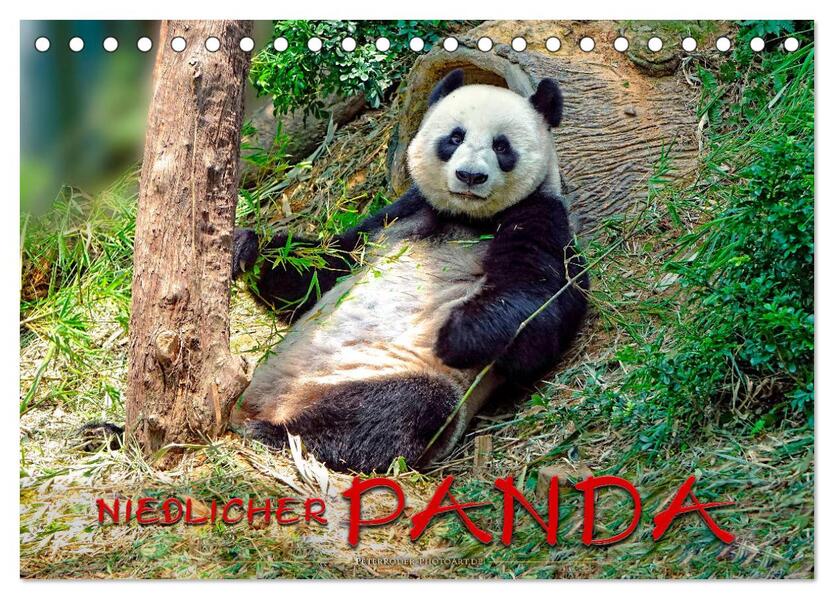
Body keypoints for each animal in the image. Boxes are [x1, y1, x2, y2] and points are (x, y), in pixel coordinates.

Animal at [230, 69, 589, 472]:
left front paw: (458, 335)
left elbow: (540, 307)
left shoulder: (540, 217)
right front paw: (245, 247)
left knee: (396, 410)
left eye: (502, 146)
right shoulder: (399, 215)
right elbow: (322, 270)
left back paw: (279, 434)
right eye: (454, 137)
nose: (470, 176)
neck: (465, 217)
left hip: (384, 373)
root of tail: (271, 403)